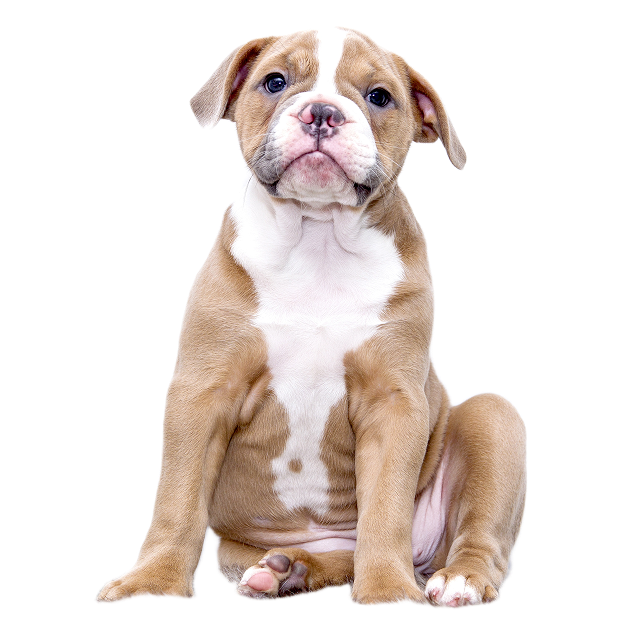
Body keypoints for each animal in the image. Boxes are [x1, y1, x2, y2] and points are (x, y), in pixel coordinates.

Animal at [96, 25, 527, 608]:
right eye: (275, 82)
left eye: (378, 96)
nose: (322, 111)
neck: (317, 240)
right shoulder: (202, 392)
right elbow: (176, 499)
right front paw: (152, 583)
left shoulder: (392, 402)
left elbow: (386, 508)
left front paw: (389, 590)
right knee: (333, 557)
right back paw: (288, 570)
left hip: (495, 418)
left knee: (478, 535)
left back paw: (458, 580)